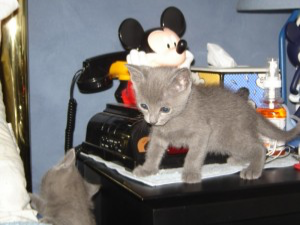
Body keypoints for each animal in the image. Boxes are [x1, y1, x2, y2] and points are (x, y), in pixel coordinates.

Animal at [127, 64, 300, 183]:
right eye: (144, 106)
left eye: (165, 109)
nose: (152, 120)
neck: (175, 119)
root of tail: (250, 110)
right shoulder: (158, 135)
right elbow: (153, 153)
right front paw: (147, 170)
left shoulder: (202, 132)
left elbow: (194, 155)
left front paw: (191, 174)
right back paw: (238, 160)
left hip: (231, 136)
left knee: (259, 147)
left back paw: (252, 170)